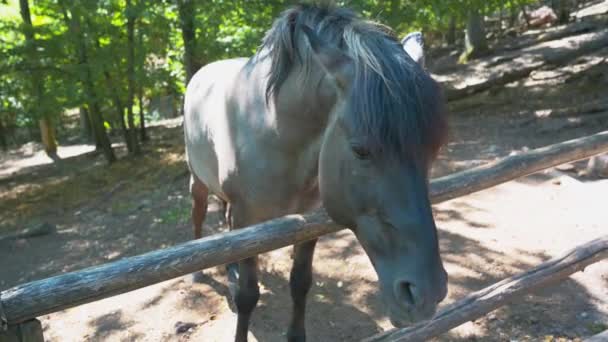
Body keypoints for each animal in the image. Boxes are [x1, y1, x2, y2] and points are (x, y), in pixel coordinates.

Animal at [183, 3, 448, 342]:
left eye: (433, 149)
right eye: (360, 150)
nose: (426, 294)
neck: (273, 132)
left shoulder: (308, 221)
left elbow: (301, 283)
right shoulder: (248, 220)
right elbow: (247, 295)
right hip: (198, 183)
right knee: (199, 216)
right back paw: (198, 274)